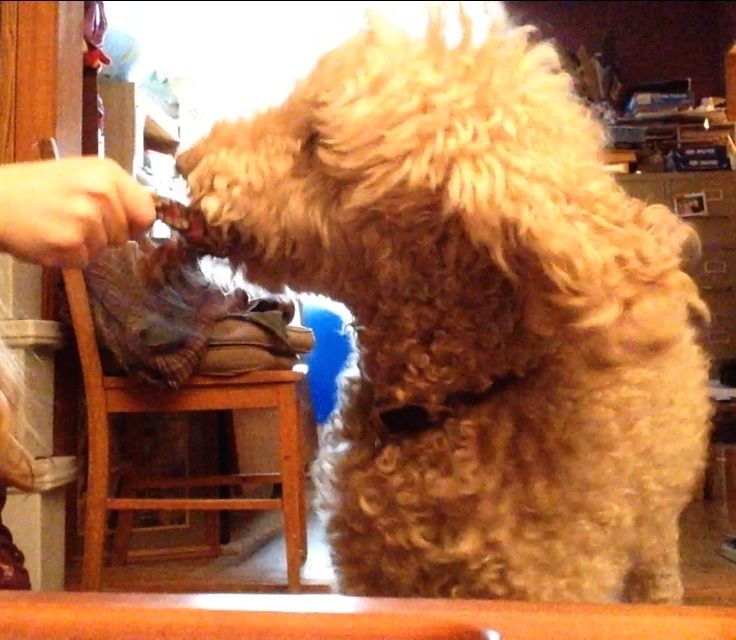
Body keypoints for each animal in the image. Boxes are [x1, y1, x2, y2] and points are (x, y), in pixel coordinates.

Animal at [174, 5, 713, 603]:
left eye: (316, 140)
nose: (183, 158)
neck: (445, 411)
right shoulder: (370, 581)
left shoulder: (547, 588)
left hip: (656, 528)